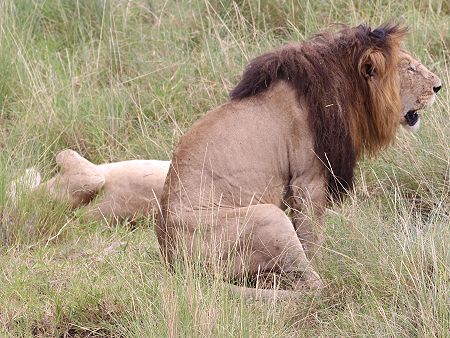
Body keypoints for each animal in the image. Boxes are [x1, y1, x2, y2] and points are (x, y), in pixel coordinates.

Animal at [156, 24, 440, 298]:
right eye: (409, 68)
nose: (438, 86)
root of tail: (174, 264)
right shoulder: (308, 180)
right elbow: (311, 236)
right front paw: (323, 261)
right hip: (267, 217)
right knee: (311, 283)